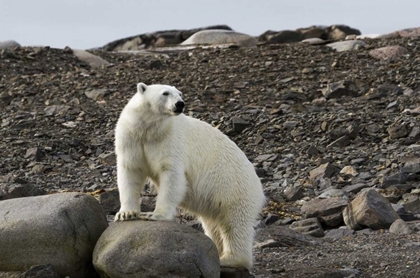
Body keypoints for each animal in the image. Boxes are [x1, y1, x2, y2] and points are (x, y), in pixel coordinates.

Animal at [114, 82, 266, 270]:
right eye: (165, 93)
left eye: (180, 93)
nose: (180, 104)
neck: (149, 129)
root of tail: (260, 187)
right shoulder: (131, 137)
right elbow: (130, 171)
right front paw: (126, 214)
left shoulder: (170, 140)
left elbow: (172, 175)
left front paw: (154, 215)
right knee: (214, 225)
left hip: (235, 190)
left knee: (235, 223)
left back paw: (229, 258)